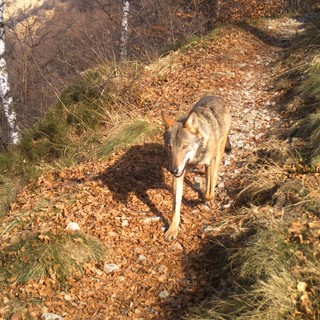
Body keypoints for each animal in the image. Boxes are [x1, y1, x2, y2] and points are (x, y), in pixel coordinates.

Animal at [161, 95, 231, 240]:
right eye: (169, 147)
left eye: (185, 146)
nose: (173, 170)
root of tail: (216, 96)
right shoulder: (180, 173)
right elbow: (176, 205)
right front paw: (172, 229)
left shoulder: (210, 163)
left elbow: (209, 193)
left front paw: (207, 198)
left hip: (219, 151)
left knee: (214, 171)